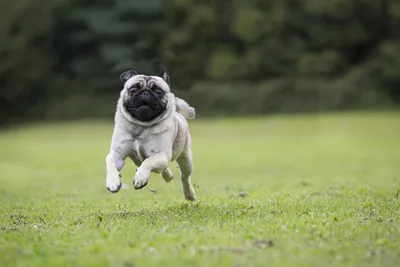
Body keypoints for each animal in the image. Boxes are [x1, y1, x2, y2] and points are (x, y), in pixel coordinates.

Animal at [104, 68, 196, 202]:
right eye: (133, 89)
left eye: (158, 91)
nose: (145, 93)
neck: (141, 126)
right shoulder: (117, 154)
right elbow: (110, 162)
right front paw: (112, 182)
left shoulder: (161, 154)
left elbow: (148, 161)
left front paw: (140, 178)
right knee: (162, 169)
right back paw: (168, 176)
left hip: (185, 159)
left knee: (184, 177)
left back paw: (189, 195)